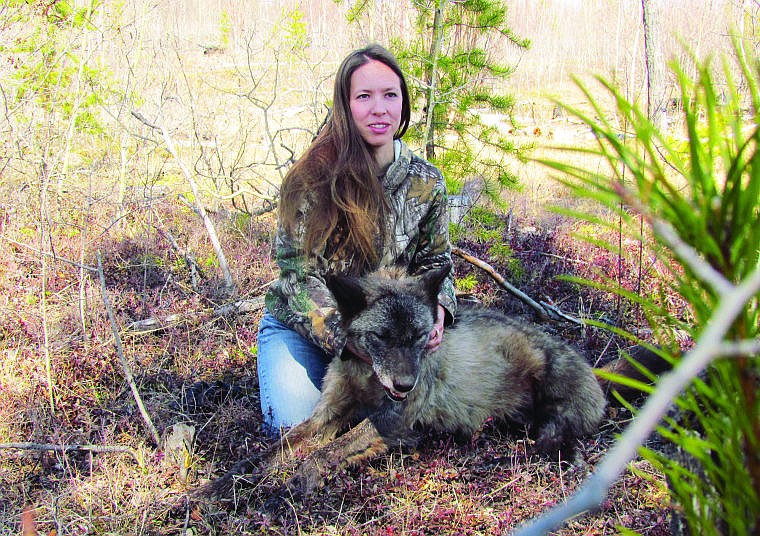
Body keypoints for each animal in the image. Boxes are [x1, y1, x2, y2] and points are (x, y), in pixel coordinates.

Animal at [205, 266, 668, 496]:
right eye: (381, 337)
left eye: (420, 336)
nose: (406, 386)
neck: (366, 375)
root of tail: (594, 371)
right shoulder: (327, 415)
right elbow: (274, 451)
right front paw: (220, 485)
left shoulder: (392, 423)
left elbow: (327, 450)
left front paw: (304, 476)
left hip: (550, 419)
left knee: (564, 442)